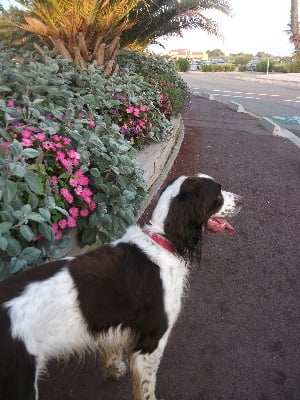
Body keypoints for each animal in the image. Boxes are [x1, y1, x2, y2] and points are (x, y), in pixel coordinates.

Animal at [0, 174, 243, 400]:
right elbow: (147, 389)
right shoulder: (152, 342)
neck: (161, 241)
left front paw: (115, 369)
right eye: (218, 194)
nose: (242, 200)